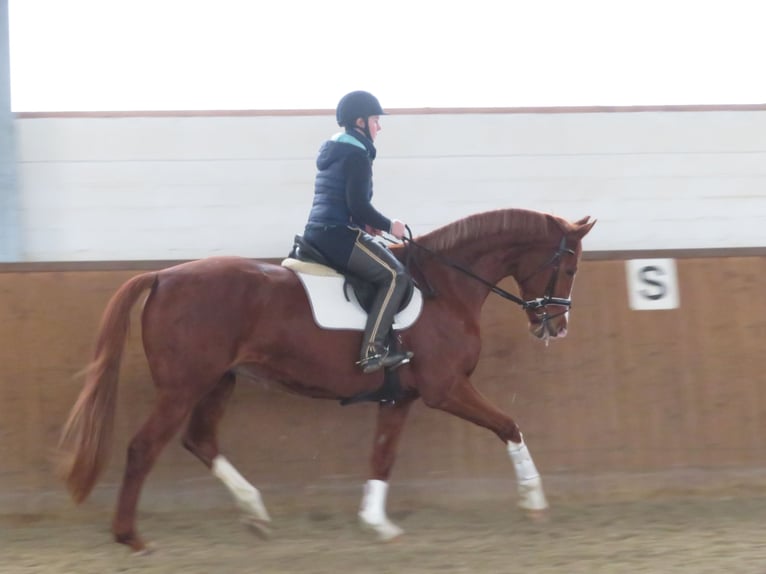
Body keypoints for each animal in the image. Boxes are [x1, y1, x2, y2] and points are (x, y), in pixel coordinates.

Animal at [60, 208, 600, 552]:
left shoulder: (399, 398)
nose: (555, 326)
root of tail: (163, 276)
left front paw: (377, 525)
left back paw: (255, 512)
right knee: (143, 448)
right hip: (183, 387)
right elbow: (509, 424)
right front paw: (534, 501)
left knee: (200, 440)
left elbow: (382, 456)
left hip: (219, 382)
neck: (446, 288)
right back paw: (131, 537)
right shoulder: (445, 389)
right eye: (570, 265)